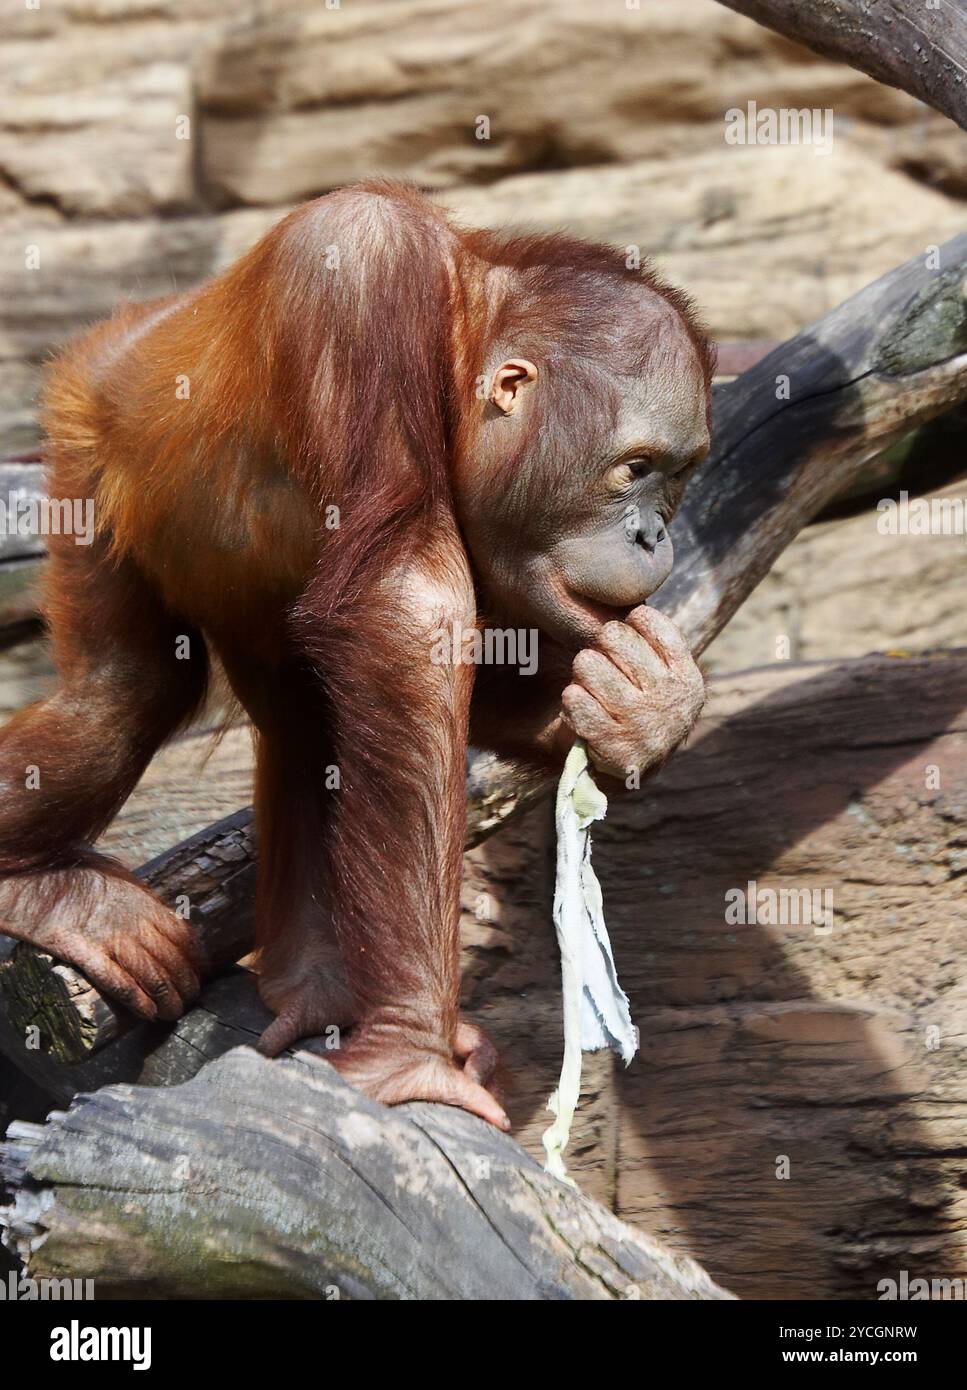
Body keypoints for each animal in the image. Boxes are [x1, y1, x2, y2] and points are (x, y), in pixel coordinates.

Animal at [0, 181, 712, 1128]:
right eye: (635, 469)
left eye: (678, 479)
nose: (652, 534)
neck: (457, 329)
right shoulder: (361, 280)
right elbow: (406, 607)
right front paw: (413, 1054)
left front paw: (645, 708)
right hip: (85, 443)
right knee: (121, 697)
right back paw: (39, 891)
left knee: (304, 723)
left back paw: (318, 992)